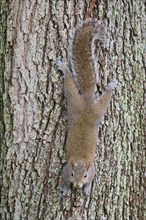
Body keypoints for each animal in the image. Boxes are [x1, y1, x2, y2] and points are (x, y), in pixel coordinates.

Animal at [56, 19, 117, 196]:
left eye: (84, 175)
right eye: (72, 174)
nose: (77, 186)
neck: (82, 160)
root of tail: (88, 102)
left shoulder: (93, 169)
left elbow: (92, 177)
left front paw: (87, 188)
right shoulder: (65, 169)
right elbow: (63, 179)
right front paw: (65, 188)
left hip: (93, 108)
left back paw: (111, 86)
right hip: (75, 101)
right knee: (69, 81)